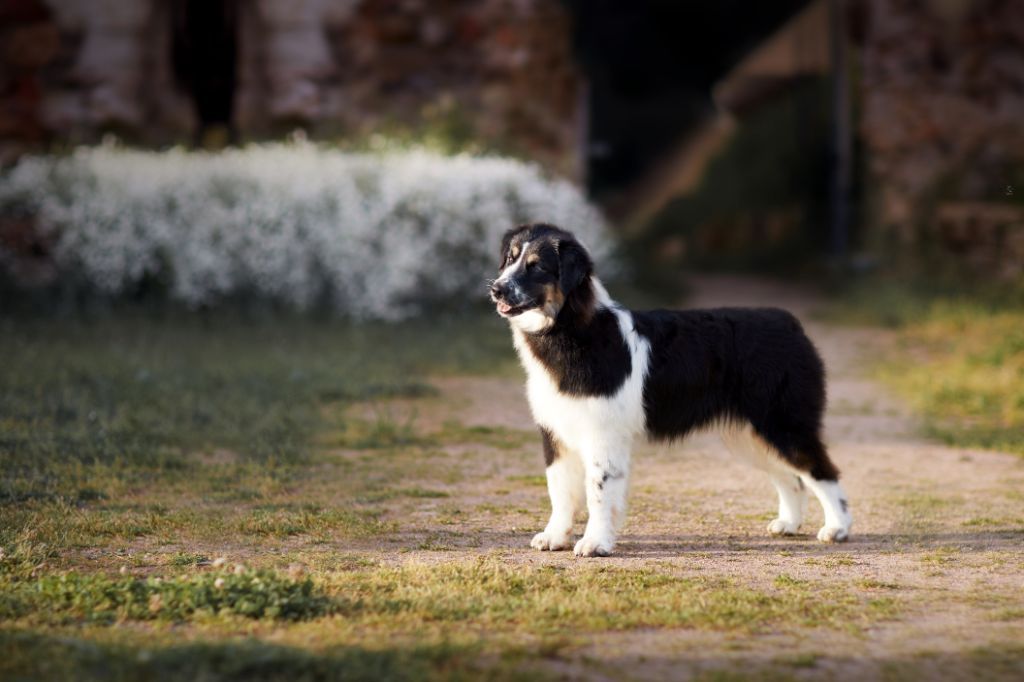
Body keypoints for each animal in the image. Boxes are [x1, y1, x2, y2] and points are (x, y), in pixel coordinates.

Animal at [485, 225, 847, 557]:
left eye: (537, 267)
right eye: (510, 259)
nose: (496, 289)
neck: (571, 329)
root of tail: (790, 322)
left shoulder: (603, 435)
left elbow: (598, 491)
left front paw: (595, 543)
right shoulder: (556, 433)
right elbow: (559, 490)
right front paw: (554, 537)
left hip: (783, 425)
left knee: (823, 471)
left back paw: (837, 528)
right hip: (750, 436)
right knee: (791, 479)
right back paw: (789, 524)